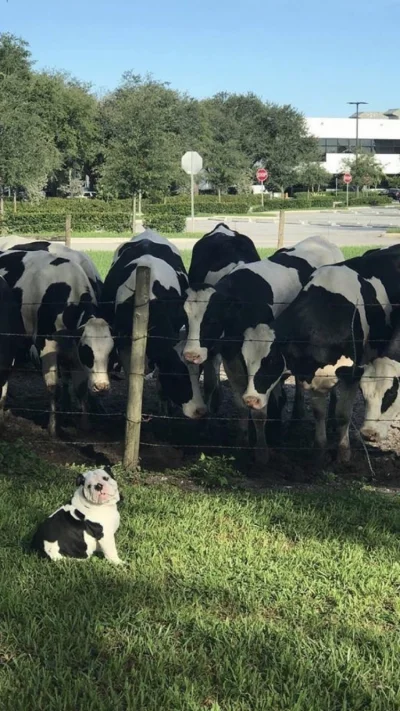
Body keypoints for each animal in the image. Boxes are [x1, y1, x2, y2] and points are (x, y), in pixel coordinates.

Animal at [0, 250, 114, 434]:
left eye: (111, 353)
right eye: (87, 351)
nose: (101, 387)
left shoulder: (74, 351)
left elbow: (80, 389)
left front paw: (84, 424)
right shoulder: (46, 345)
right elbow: (53, 388)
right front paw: (53, 427)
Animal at [100, 231, 208, 420]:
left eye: (200, 371)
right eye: (176, 374)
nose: (200, 411)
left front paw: (164, 404)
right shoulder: (124, 343)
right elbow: (132, 375)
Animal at [241, 246, 400, 462]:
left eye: (271, 360)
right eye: (245, 361)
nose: (250, 399)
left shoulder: (352, 374)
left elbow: (343, 415)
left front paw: (343, 453)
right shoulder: (313, 376)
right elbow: (318, 413)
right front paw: (319, 450)